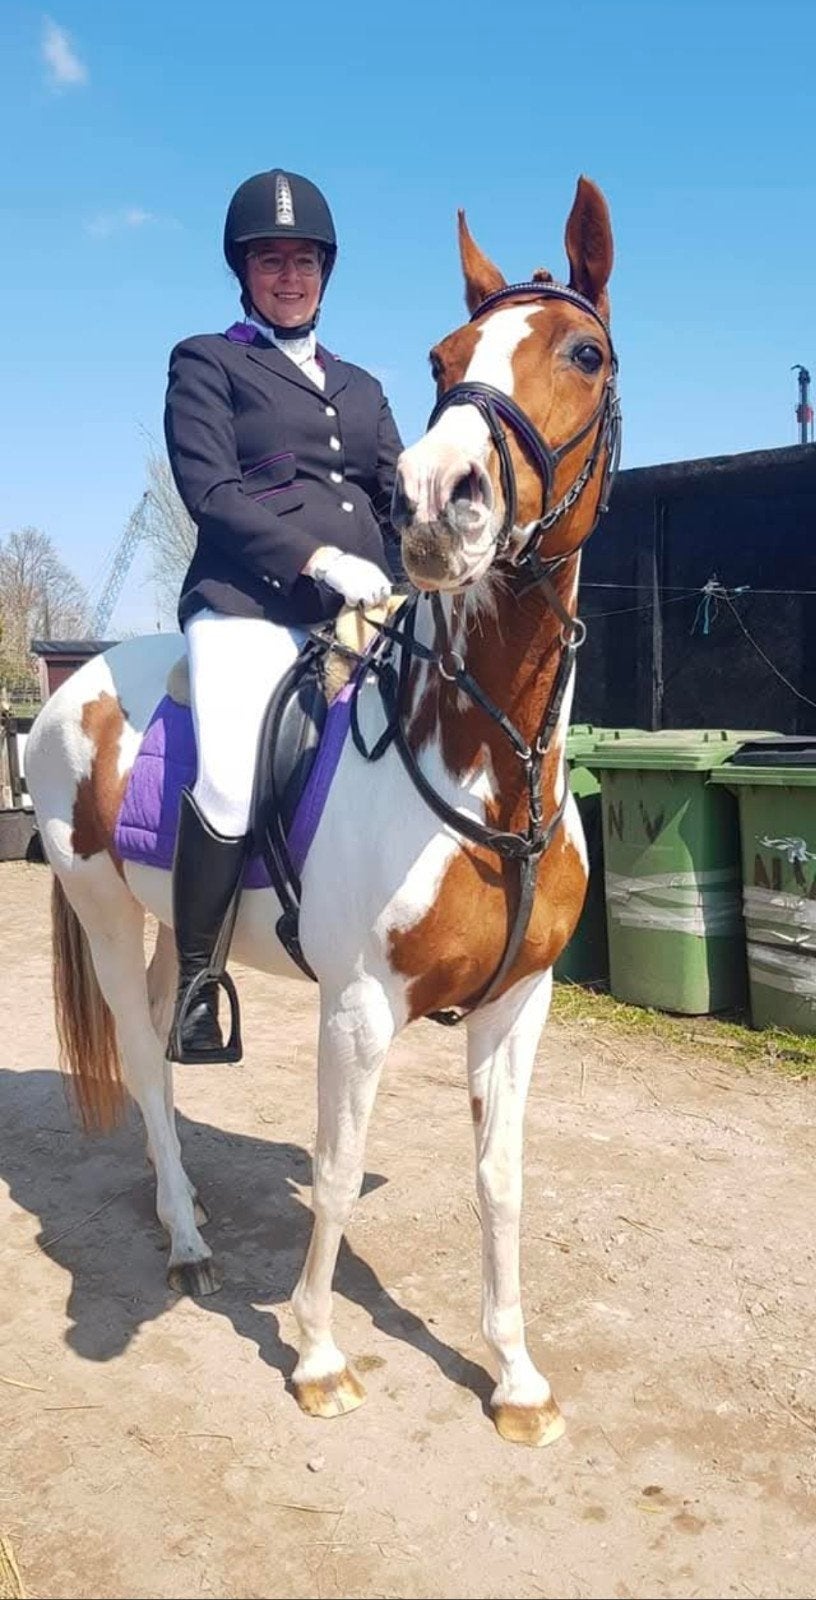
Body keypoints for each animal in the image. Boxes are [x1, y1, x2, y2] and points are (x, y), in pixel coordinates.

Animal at [24, 175, 620, 1448]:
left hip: (171, 923)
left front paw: (516, 1376)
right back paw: (188, 1239)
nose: (436, 503)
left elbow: (502, 1178)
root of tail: (76, 680)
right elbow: (339, 1173)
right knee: (141, 1057)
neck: (486, 768)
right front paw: (317, 1355)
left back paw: (182, 1207)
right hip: (101, 911)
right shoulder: (358, 1010)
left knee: (165, 1043)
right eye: (443, 358)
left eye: (585, 352)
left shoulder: (522, 1007)